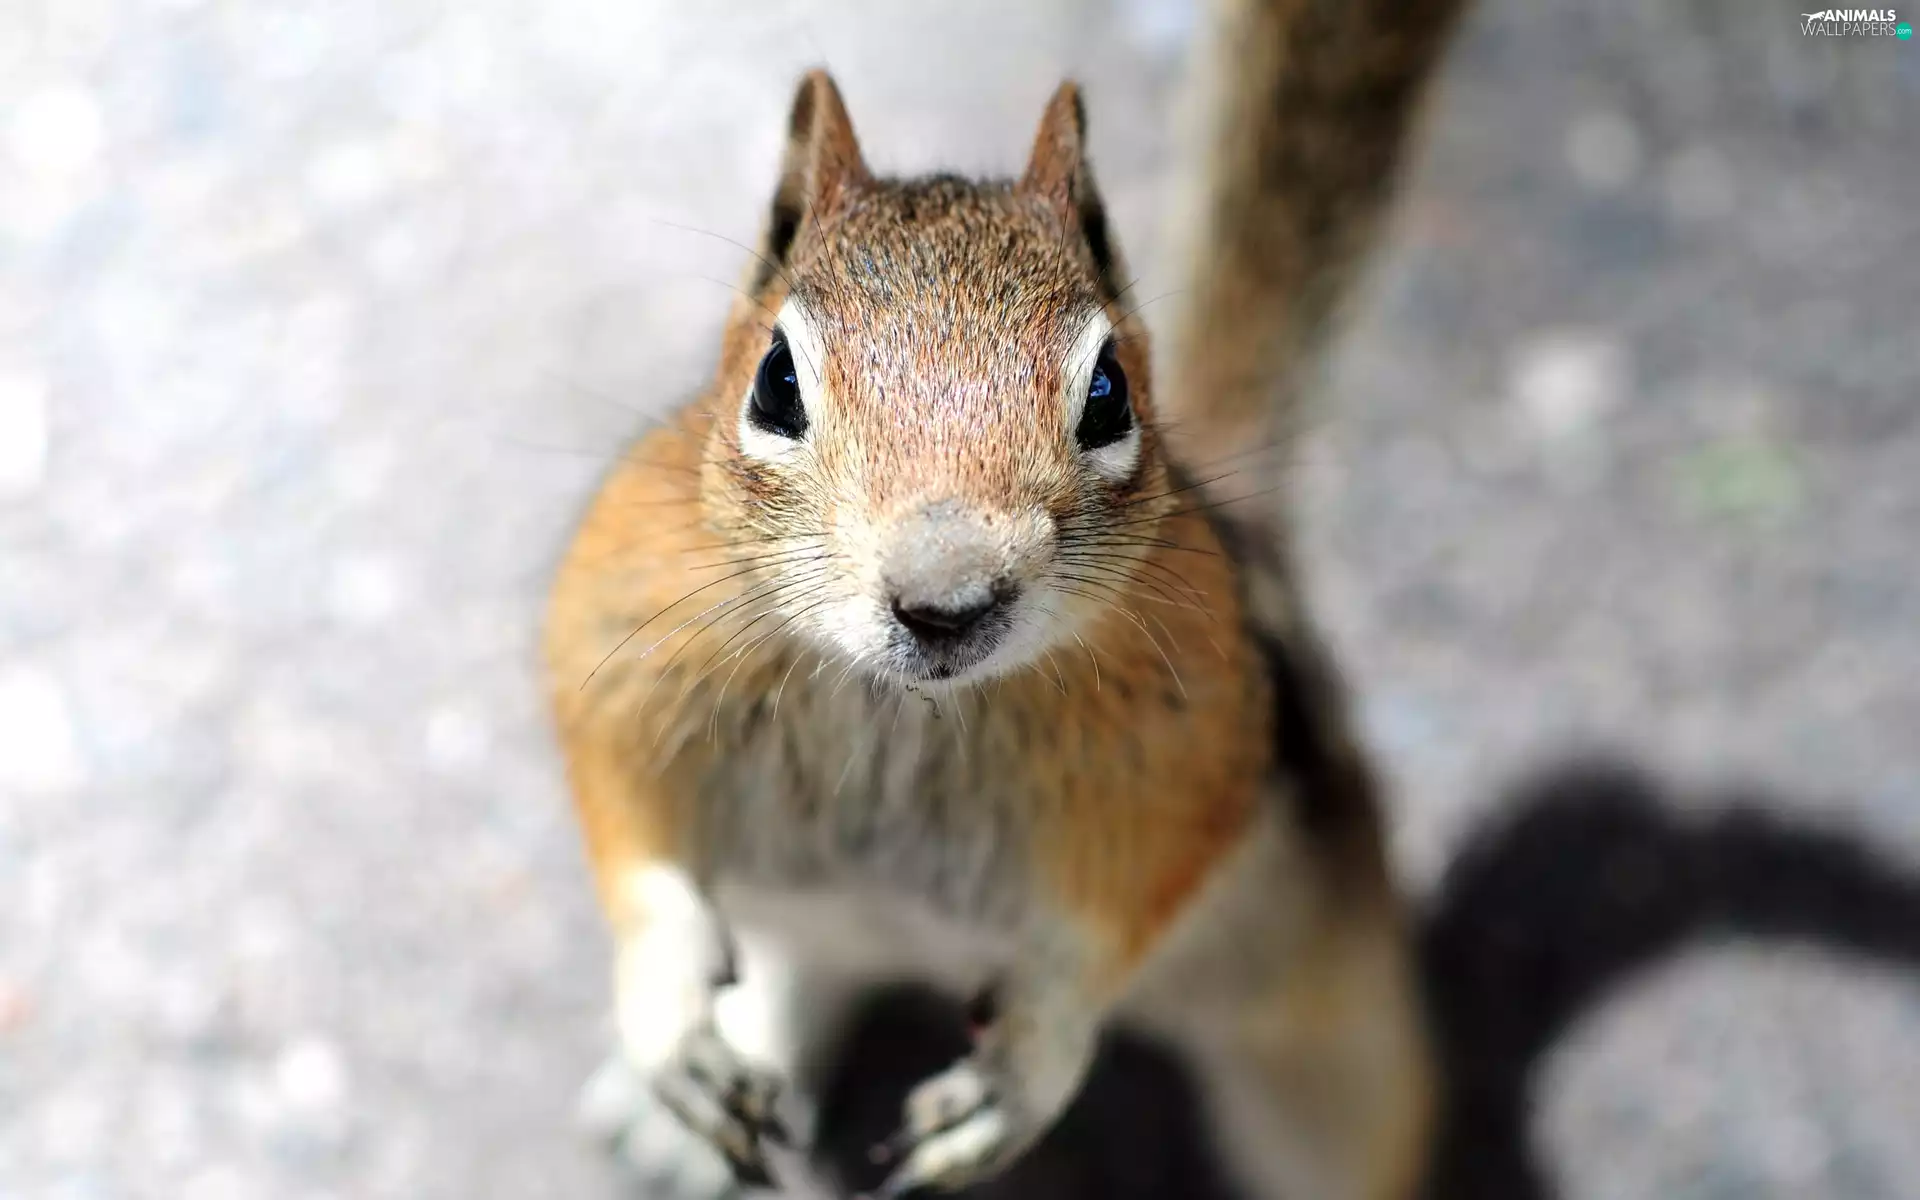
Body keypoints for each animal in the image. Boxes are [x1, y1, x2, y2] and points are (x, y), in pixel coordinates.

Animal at [541, 0, 1470, 1196]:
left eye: (1109, 393)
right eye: (775, 383)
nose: (946, 600)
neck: (903, 709)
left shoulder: (1191, 757)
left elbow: (1106, 932)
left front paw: (1024, 1070)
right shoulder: (618, 645)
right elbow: (638, 855)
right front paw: (667, 1025)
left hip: (1331, 1039)